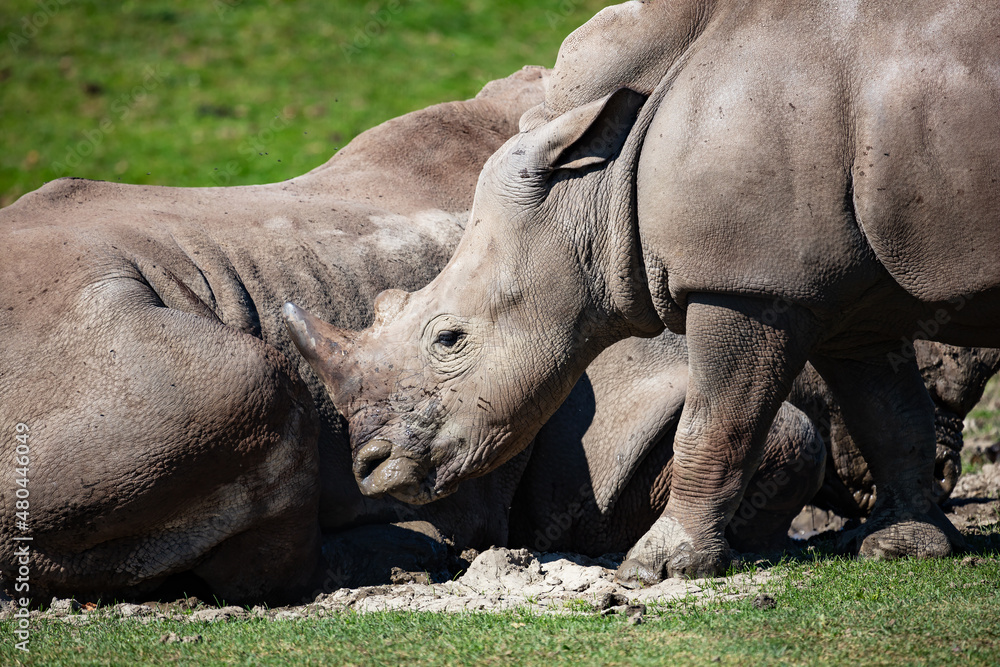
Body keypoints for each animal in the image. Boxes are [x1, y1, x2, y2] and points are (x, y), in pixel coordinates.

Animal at [286, 0, 1000, 583]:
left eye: (449, 338)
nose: (370, 468)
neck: (593, 179)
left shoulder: (744, 283)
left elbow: (716, 422)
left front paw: (656, 568)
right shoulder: (839, 292)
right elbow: (889, 412)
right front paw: (902, 548)